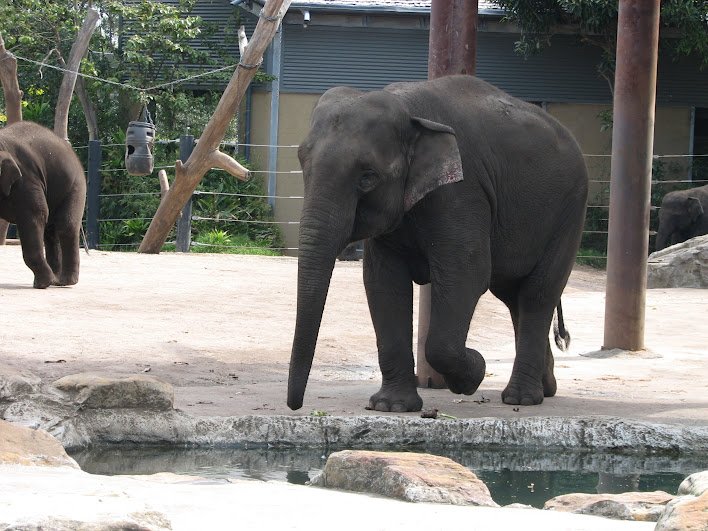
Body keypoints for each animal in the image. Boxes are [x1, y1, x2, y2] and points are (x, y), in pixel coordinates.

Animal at [0, 121, 86, 288]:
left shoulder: (25, 180)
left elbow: (35, 215)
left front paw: (43, 284)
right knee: (50, 230)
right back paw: (56, 279)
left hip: (75, 186)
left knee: (65, 226)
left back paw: (62, 281)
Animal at [287, 75, 588, 412]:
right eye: (302, 162)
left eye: (367, 177)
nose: (295, 406)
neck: (408, 110)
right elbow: (383, 283)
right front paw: (392, 406)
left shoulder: (462, 192)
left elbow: (467, 274)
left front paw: (473, 374)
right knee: (514, 296)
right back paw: (545, 389)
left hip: (570, 210)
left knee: (538, 293)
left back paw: (521, 398)